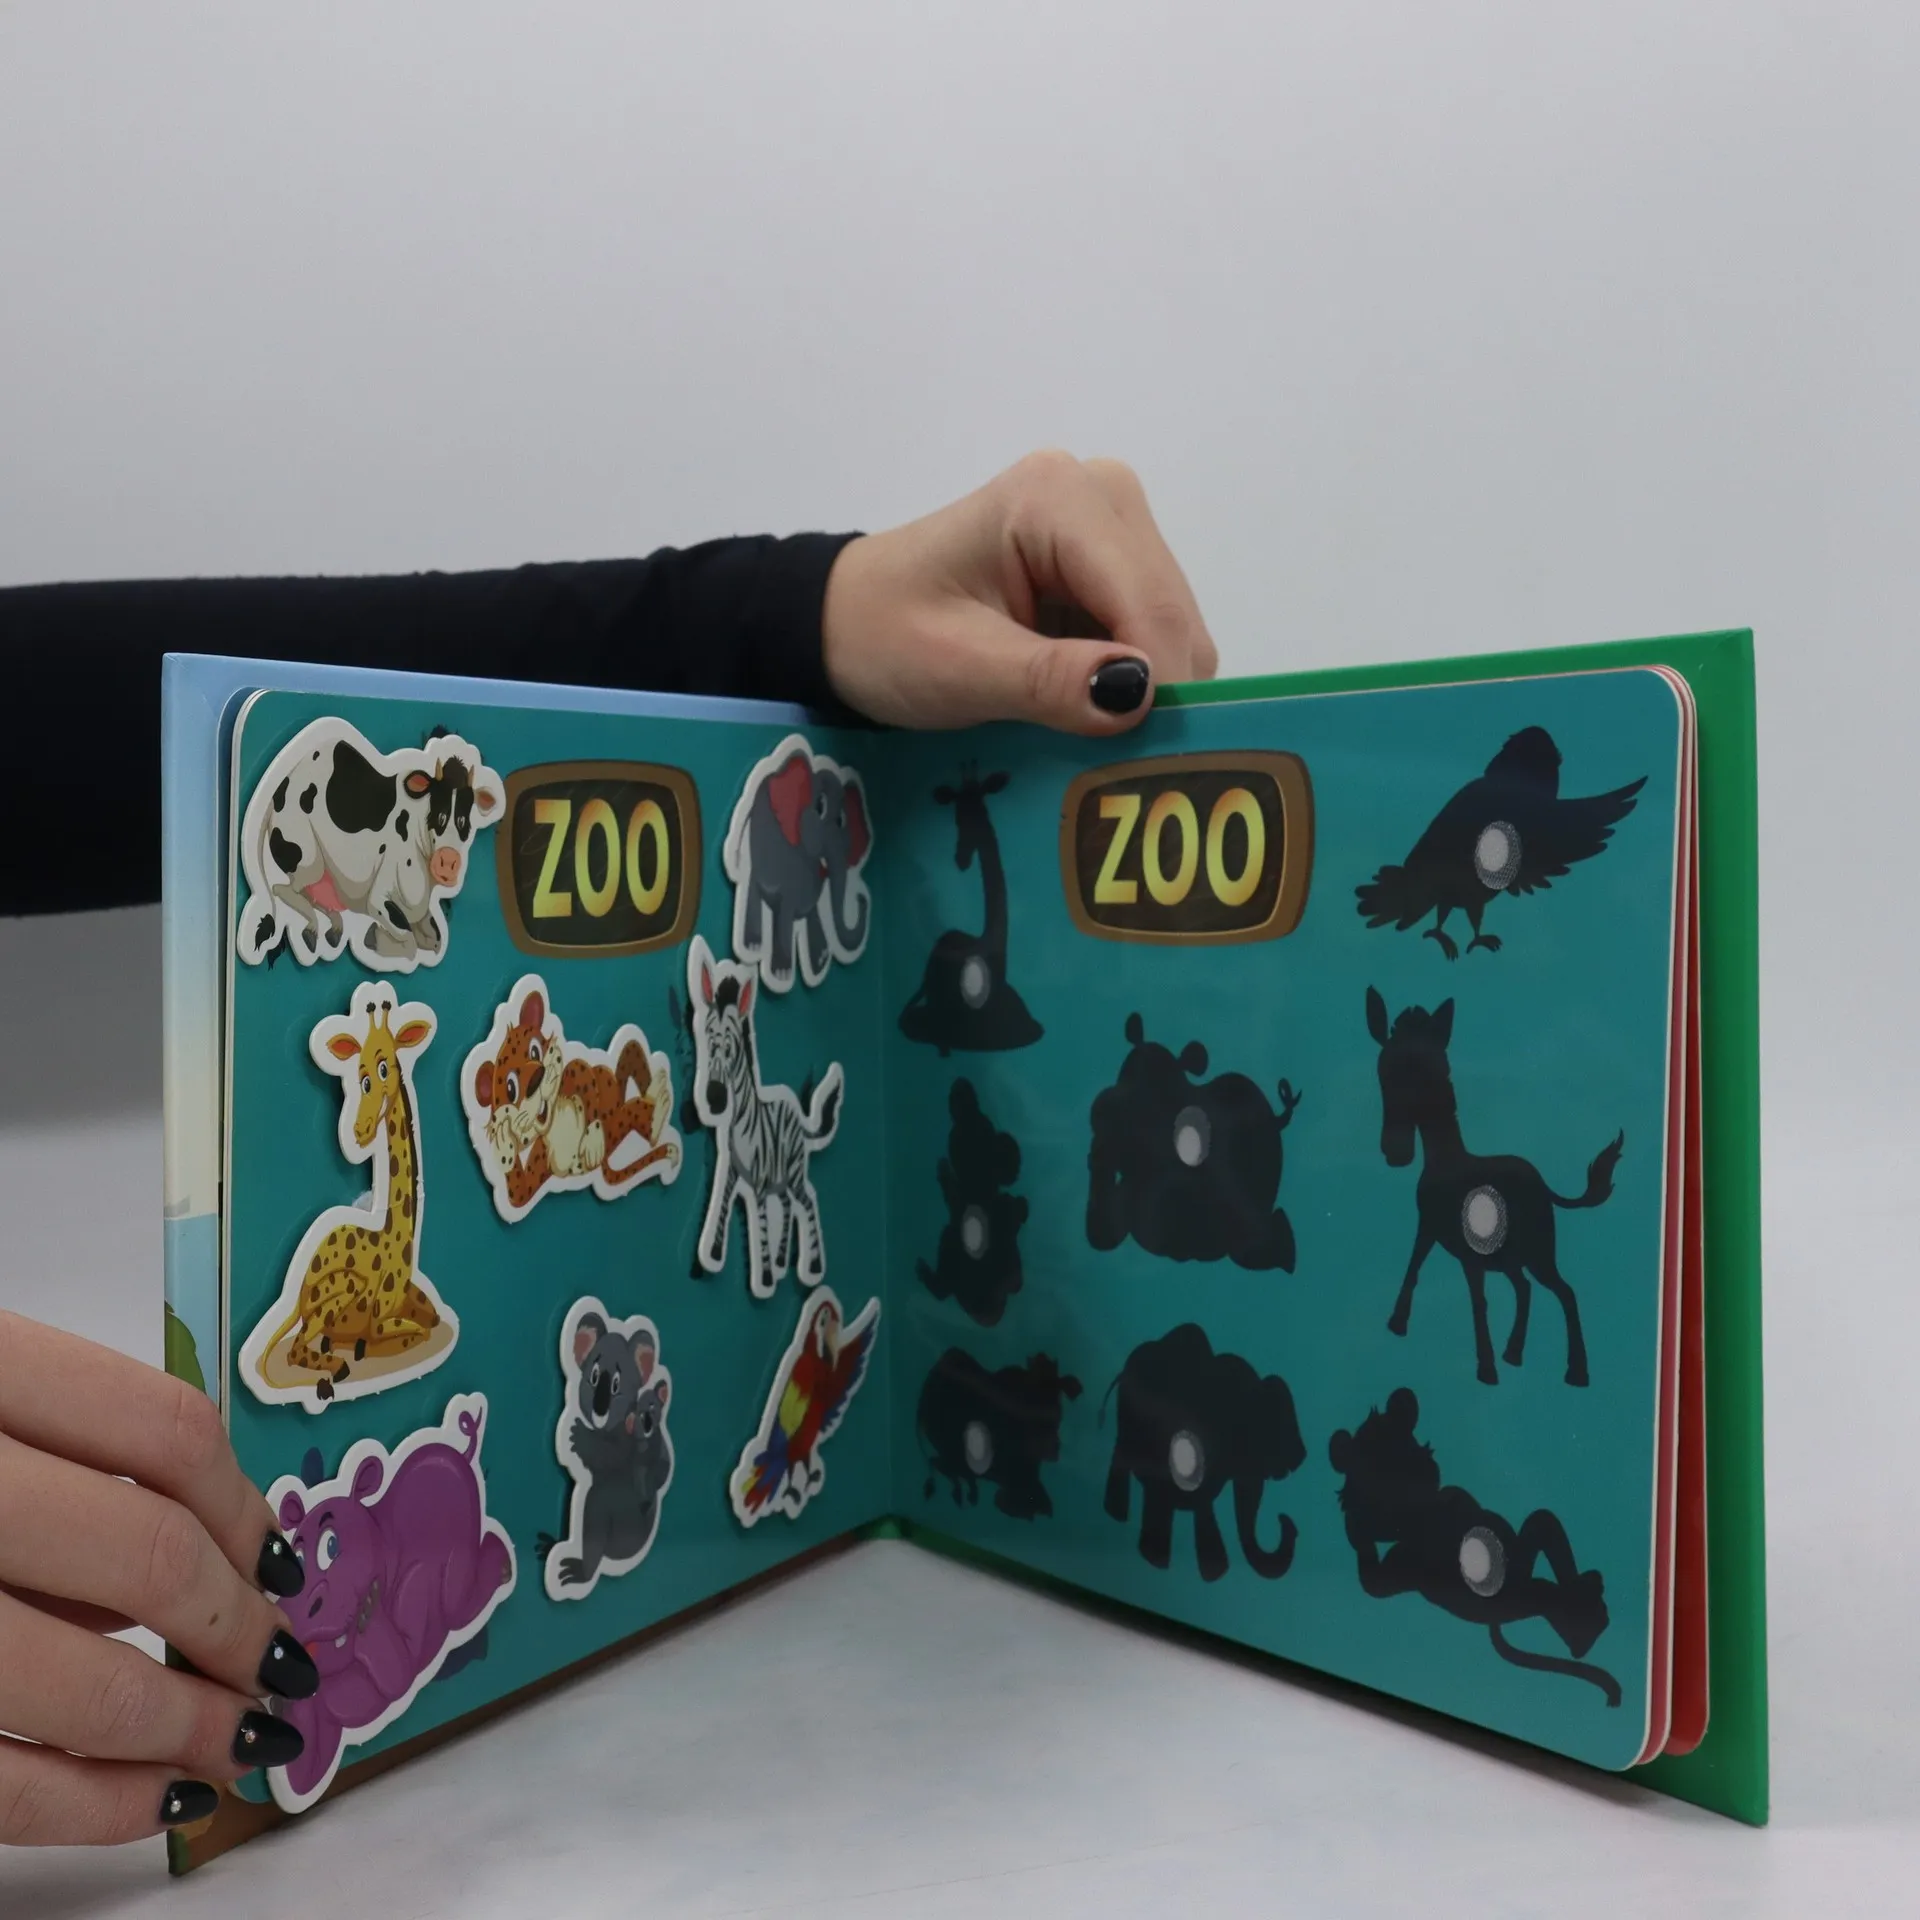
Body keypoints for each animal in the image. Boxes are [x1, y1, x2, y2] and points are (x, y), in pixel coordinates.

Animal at [727, 739, 873, 991]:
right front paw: (783, 973)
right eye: (819, 807)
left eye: (842, 821)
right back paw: (754, 945)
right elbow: (787, 907)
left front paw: (819, 959)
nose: (860, 899)